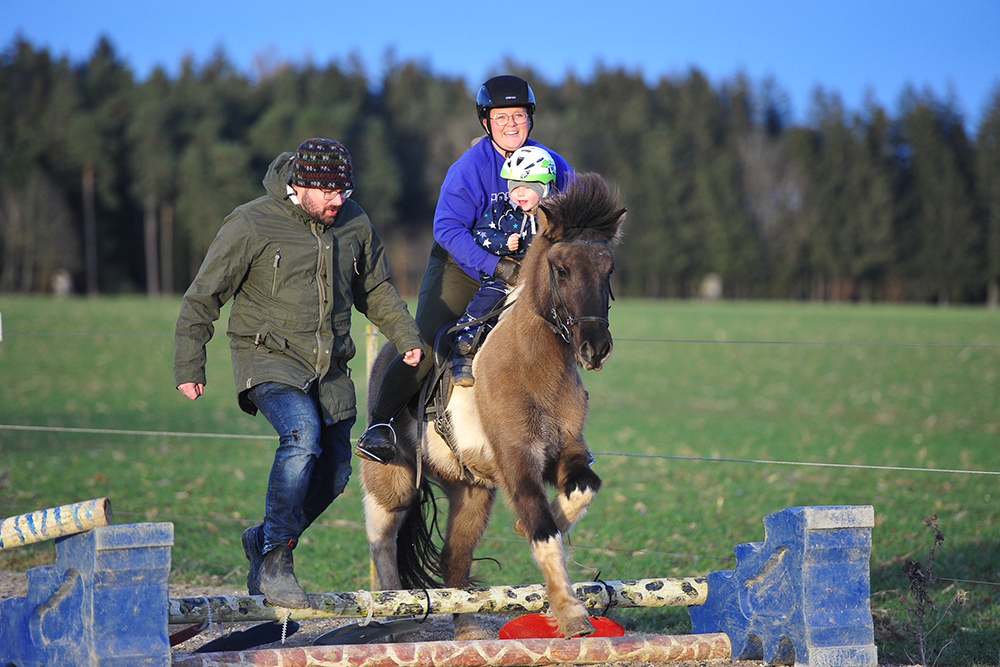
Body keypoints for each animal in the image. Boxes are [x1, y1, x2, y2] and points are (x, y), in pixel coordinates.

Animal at [360, 170, 624, 640]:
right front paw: (571, 613)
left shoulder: (566, 452)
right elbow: (542, 528)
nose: (595, 349)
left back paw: (467, 632)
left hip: (471, 493)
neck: (531, 366)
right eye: (561, 268)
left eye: (607, 269)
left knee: (455, 559)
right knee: (383, 541)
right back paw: (401, 622)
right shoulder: (517, 460)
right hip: (390, 481)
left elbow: (581, 490)